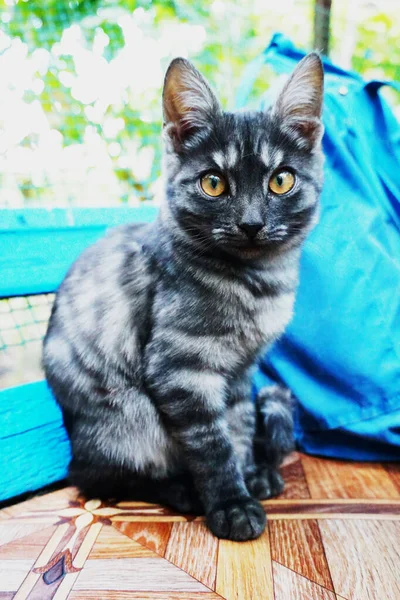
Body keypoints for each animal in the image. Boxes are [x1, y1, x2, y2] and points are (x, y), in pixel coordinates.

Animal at [43, 54, 324, 540]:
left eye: (281, 180)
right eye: (213, 184)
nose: (251, 223)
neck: (256, 282)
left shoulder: (241, 372)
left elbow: (239, 425)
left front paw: (250, 473)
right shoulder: (181, 368)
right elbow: (212, 445)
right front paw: (232, 505)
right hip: (129, 419)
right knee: (100, 476)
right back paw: (183, 491)